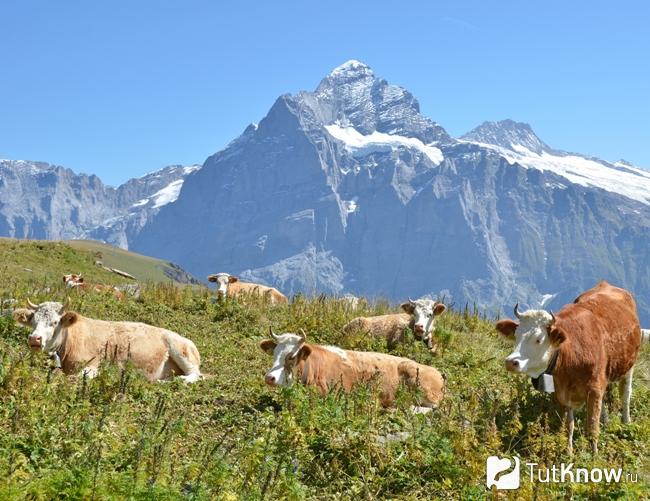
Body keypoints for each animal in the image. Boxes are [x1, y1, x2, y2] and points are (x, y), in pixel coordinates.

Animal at [13, 299, 202, 383]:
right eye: (33, 321)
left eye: (54, 322)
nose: (35, 339)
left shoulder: (92, 364)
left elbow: (77, 377)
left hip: (181, 351)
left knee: (195, 375)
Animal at [495, 281, 643, 454]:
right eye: (517, 335)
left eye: (539, 339)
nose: (511, 362)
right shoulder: (560, 393)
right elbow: (568, 427)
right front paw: (568, 452)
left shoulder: (594, 389)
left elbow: (592, 427)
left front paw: (594, 455)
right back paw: (606, 421)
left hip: (629, 365)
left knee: (625, 395)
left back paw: (626, 422)